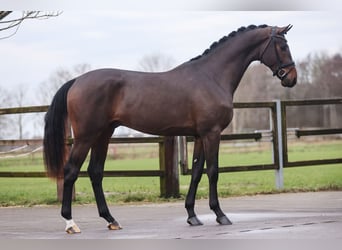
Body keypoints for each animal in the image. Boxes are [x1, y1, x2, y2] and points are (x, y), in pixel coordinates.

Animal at [44, 24, 296, 233]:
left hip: (103, 135)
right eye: (283, 46)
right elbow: (213, 171)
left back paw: (111, 220)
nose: (291, 78)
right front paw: (220, 215)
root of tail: (77, 81)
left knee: (95, 172)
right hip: (86, 137)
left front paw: (192, 216)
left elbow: (196, 172)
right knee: (71, 171)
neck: (211, 76)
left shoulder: (199, 136)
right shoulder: (212, 133)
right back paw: (70, 223)